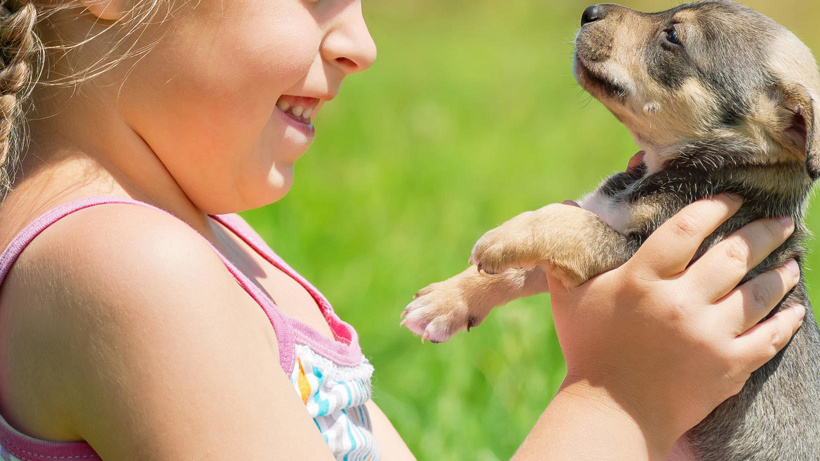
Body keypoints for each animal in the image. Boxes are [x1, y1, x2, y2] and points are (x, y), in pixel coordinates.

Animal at [402, 1, 820, 458]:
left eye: (673, 36)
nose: (590, 10)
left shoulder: (633, 249)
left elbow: (562, 221)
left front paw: (501, 238)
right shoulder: (595, 227)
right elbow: (519, 270)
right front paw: (446, 303)